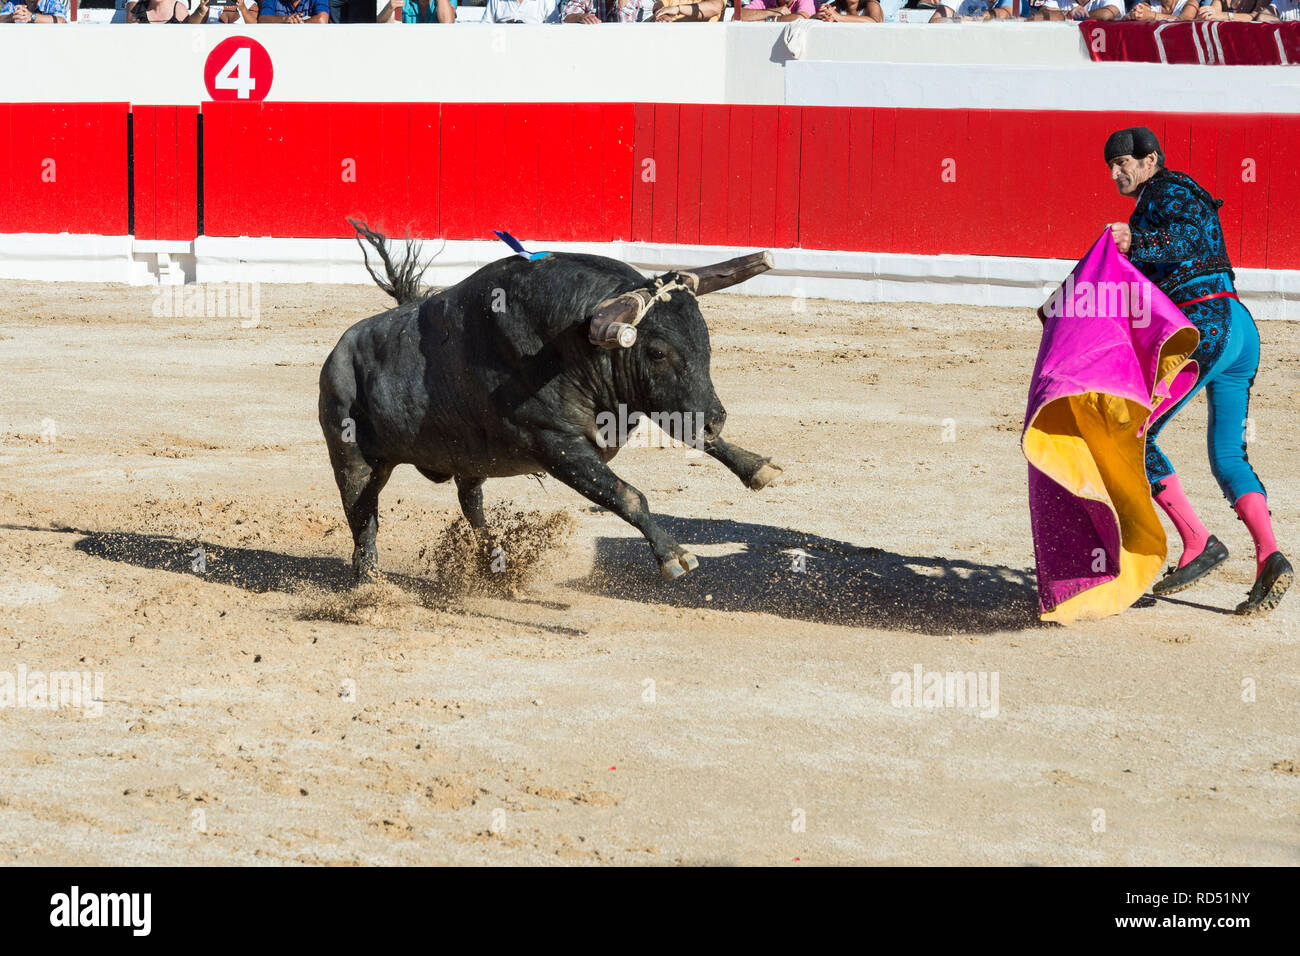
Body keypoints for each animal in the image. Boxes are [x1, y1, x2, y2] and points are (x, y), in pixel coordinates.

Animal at [319, 225, 785, 582]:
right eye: (656, 352)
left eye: (704, 338)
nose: (716, 419)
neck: (567, 344)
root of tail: (337, 354)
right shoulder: (558, 446)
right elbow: (627, 495)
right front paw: (674, 555)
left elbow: (688, 431)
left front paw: (757, 466)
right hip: (353, 461)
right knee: (363, 521)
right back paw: (370, 586)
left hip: (467, 459)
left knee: (471, 504)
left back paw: (492, 559)